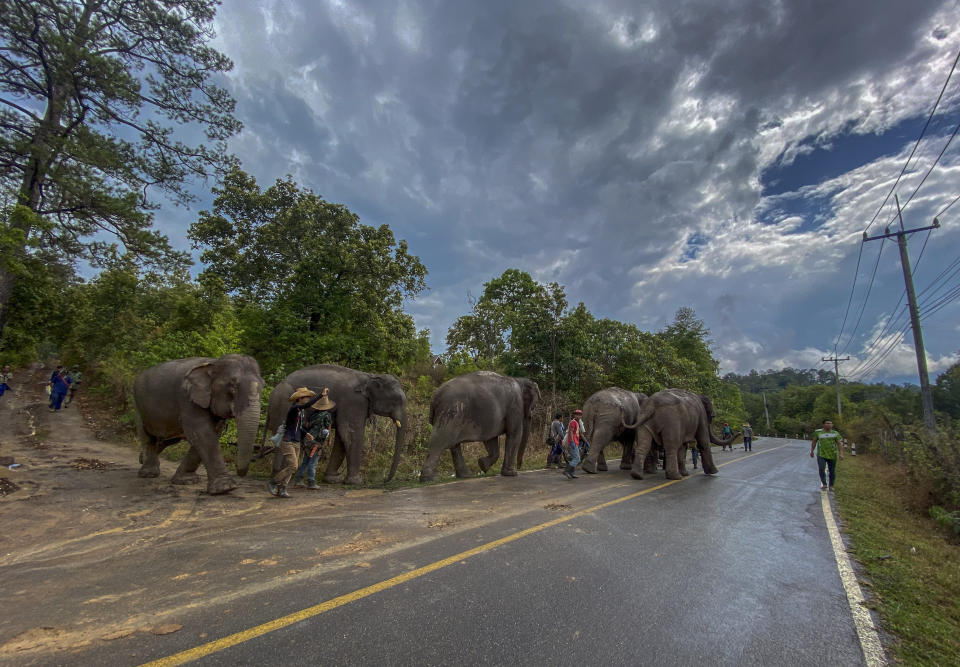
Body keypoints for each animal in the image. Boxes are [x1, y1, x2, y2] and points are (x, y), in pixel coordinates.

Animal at [133, 354, 262, 496]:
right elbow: (201, 433)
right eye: (233, 387)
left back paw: (142, 459)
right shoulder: (187, 398)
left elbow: (211, 433)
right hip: (140, 408)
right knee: (147, 436)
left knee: (166, 440)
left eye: (263, 387)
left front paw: (186, 481)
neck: (214, 363)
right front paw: (226, 488)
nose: (240, 473)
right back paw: (148, 473)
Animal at [262, 366, 404, 486]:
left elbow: (342, 437)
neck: (370, 376)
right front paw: (356, 482)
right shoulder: (354, 402)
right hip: (282, 407)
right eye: (396, 401)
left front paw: (333, 480)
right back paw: (279, 476)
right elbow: (350, 434)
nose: (384, 480)